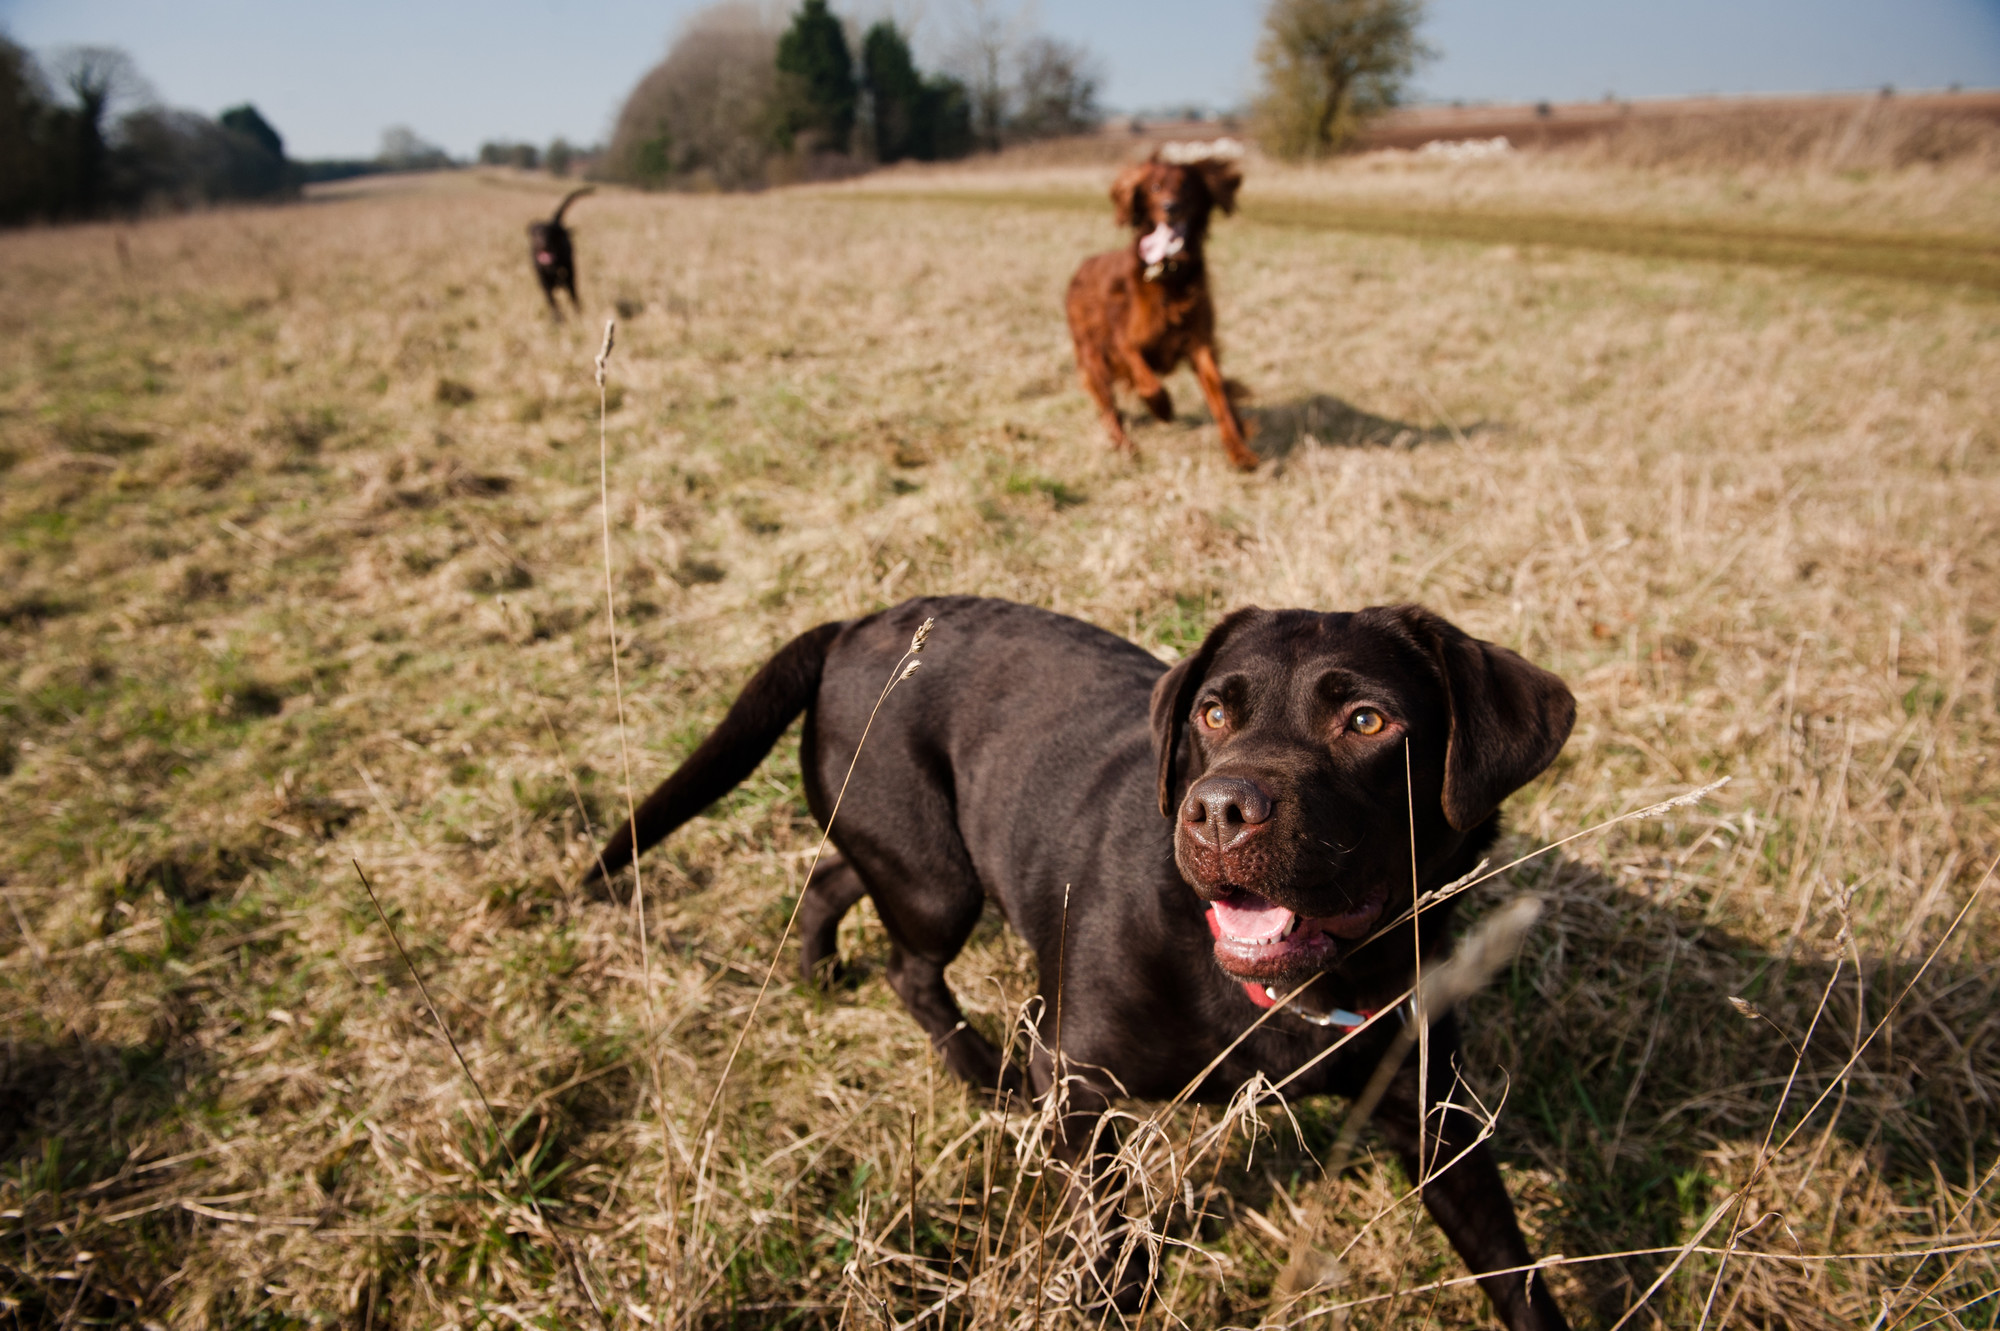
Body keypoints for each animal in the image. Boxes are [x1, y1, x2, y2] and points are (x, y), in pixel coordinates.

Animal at [1064, 144, 1248, 463]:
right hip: (1092, 354)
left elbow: (1219, 397)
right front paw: (1163, 409)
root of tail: (1081, 267)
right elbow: (1148, 381)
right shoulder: (1123, 341)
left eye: (1187, 187)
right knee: (1108, 407)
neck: (1169, 274)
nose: (1171, 207)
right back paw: (1125, 447)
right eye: (1155, 188)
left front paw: (1239, 451)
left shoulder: (1200, 344)